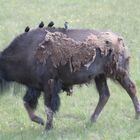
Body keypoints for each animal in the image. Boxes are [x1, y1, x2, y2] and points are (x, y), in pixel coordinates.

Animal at [0, 25, 140, 130]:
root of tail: (119, 39)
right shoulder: (35, 87)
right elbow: (27, 103)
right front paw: (40, 121)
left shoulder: (48, 86)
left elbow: (48, 107)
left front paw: (47, 127)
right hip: (100, 77)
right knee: (104, 95)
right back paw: (91, 121)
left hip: (119, 73)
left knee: (131, 88)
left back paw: (136, 116)